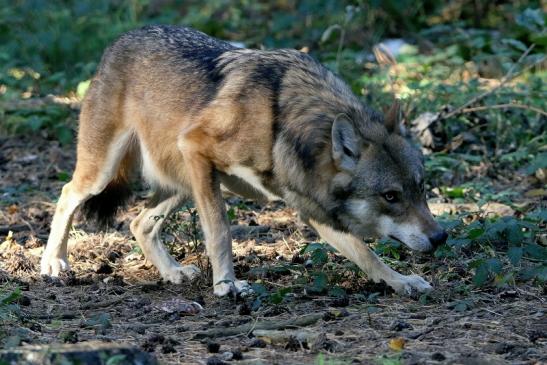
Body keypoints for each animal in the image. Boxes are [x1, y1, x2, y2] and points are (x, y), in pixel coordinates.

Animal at [40, 25, 448, 298]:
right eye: (391, 196)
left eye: (421, 188)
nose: (441, 237)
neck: (283, 126)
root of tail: (120, 39)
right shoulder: (198, 148)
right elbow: (220, 231)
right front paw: (228, 285)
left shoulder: (312, 208)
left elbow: (366, 254)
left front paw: (401, 281)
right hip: (108, 173)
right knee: (66, 194)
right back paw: (53, 263)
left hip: (181, 183)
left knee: (139, 223)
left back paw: (173, 273)